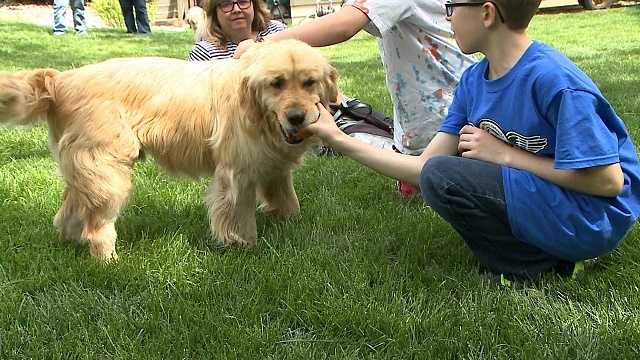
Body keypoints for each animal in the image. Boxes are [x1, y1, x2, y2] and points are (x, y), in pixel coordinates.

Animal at [0, 39, 340, 262]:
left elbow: (289, 201)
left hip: (88, 168)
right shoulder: (237, 172)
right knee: (97, 225)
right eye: (276, 83)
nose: (296, 117)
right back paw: (108, 261)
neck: (255, 109)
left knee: (69, 210)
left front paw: (289, 222)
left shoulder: (272, 165)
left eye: (309, 82)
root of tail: (61, 79)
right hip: (109, 169)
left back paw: (70, 241)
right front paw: (243, 245)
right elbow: (239, 216)